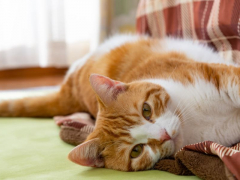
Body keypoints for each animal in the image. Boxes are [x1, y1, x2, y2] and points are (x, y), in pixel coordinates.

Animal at [0, 34, 240, 172]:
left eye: (146, 110)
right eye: (136, 151)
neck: (194, 120)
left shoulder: (216, 76)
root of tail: (70, 92)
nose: (163, 136)